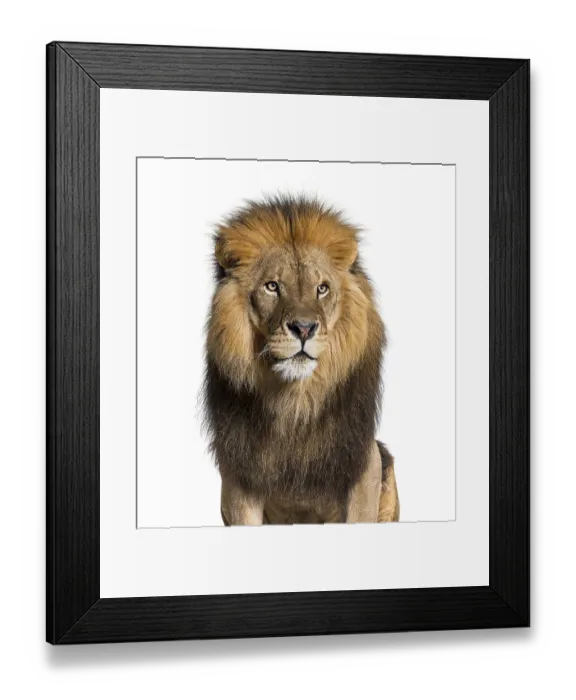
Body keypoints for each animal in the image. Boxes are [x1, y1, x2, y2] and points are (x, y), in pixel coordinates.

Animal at [203, 195, 399, 525]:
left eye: (322, 288)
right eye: (272, 286)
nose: (304, 328)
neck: (296, 400)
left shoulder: (364, 463)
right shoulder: (240, 479)